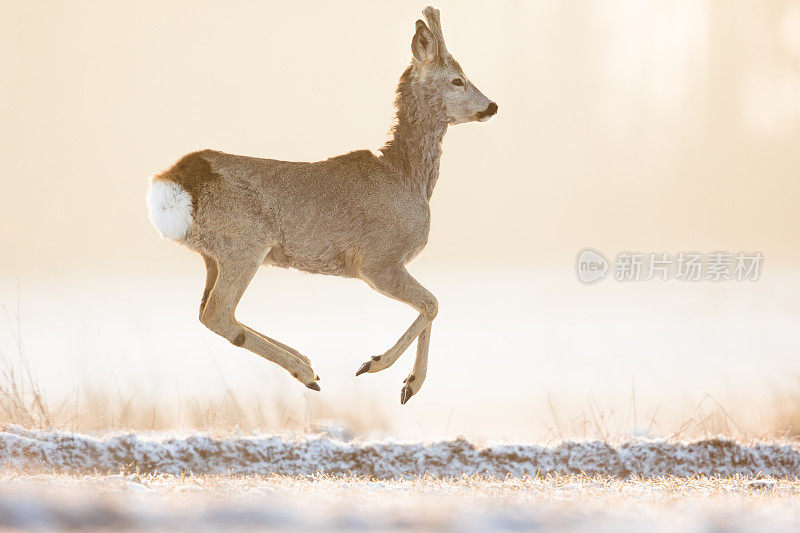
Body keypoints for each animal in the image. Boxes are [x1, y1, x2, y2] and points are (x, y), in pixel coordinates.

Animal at [145, 6, 494, 404]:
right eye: (457, 80)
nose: (492, 106)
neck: (406, 177)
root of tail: (172, 180)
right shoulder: (377, 261)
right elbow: (432, 303)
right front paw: (388, 371)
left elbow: (430, 305)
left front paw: (403, 380)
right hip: (244, 244)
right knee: (218, 314)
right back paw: (305, 371)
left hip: (214, 255)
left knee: (207, 311)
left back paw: (304, 360)